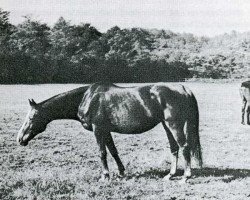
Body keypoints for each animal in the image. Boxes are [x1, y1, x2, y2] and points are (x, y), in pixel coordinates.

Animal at [16, 82, 202, 182]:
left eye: (31, 117)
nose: (20, 139)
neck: (87, 98)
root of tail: (183, 88)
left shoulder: (98, 129)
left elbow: (102, 153)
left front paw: (105, 176)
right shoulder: (105, 130)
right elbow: (113, 151)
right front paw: (121, 172)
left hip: (174, 125)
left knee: (184, 147)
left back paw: (186, 177)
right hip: (166, 125)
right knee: (174, 148)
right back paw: (170, 175)